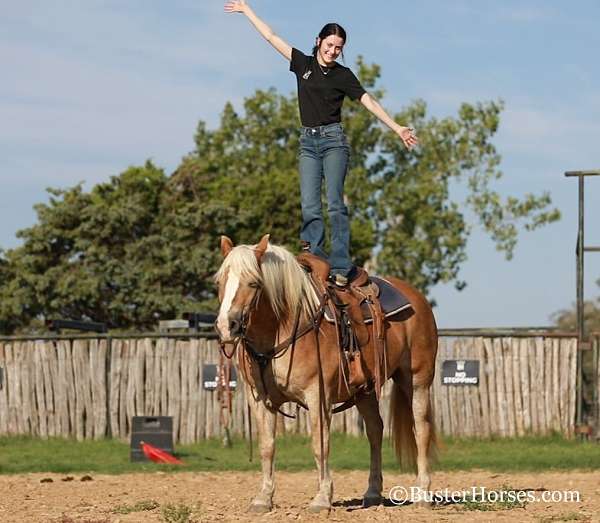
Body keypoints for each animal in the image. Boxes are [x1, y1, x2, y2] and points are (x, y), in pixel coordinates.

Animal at [213, 235, 438, 512]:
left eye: (253, 282)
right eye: (219, 282)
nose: (227, 326)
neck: (283, 326)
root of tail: (417, 298)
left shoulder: (317, 395)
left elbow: (320, 445)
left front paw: (321, 498)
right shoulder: (260, 400)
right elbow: (267, 447)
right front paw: (262, 498)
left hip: (417, 380)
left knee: (422, 429)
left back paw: (423, 494)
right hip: (365, 391)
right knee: (375, 431)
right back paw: (373, 492)